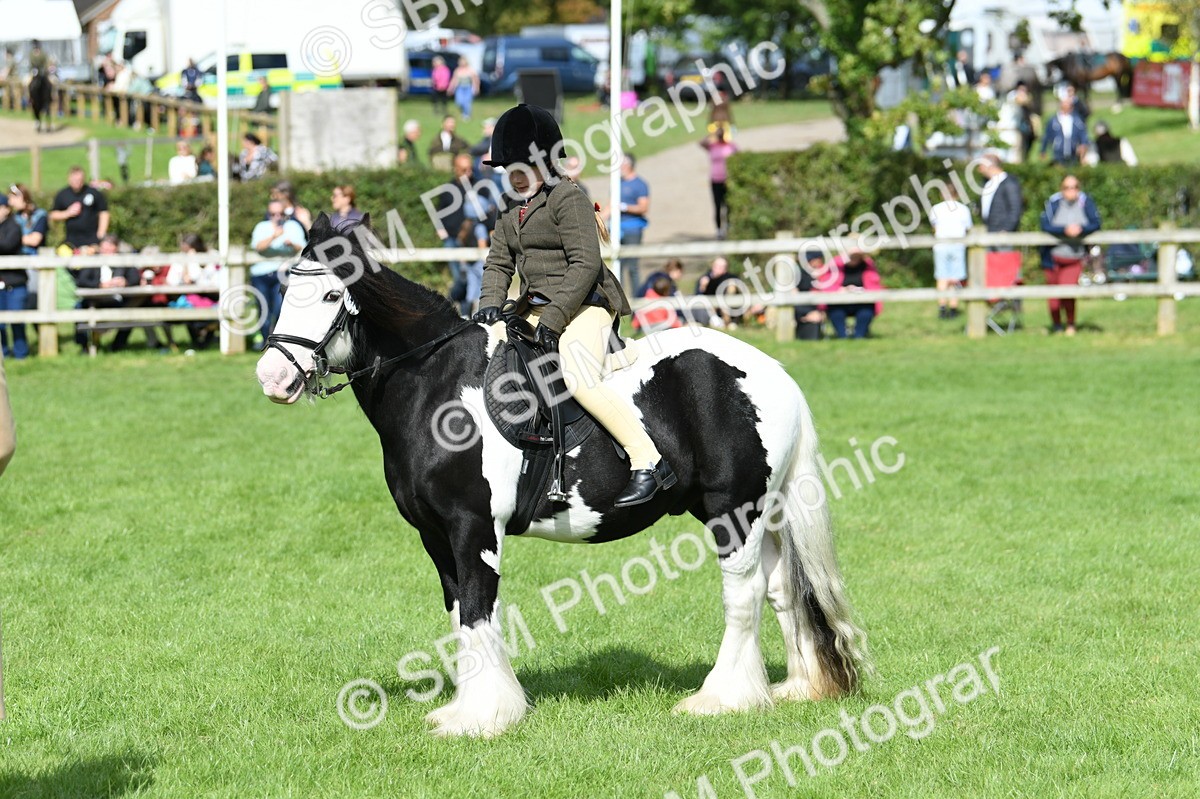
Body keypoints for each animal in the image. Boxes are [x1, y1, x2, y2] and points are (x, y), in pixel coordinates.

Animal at [254, 214, 868, 737]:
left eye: (331, 295)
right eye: (285, 293)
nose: (271, 378)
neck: (438, 383)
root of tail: (773, 373)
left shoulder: (473, 528)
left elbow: (478, 610)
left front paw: (483, 716)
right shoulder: (435, 535)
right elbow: (459, 618)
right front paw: (467, 708)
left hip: (732, 509)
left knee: (743, 592)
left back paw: (721, 698)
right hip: (759, 511)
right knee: (780, 587)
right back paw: (794, 689)